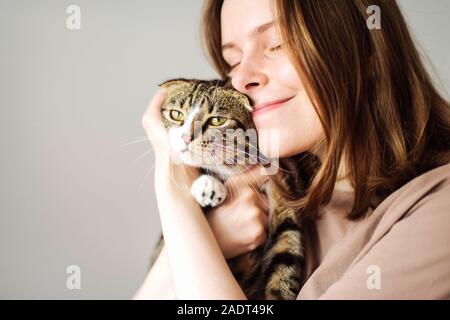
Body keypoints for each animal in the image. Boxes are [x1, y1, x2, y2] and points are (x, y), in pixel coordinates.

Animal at [149, 78, 304, 300]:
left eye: (217, 120)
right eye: (176, 114)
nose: (186, 138)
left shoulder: (283, 195)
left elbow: (286, 253)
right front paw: (208, 185)